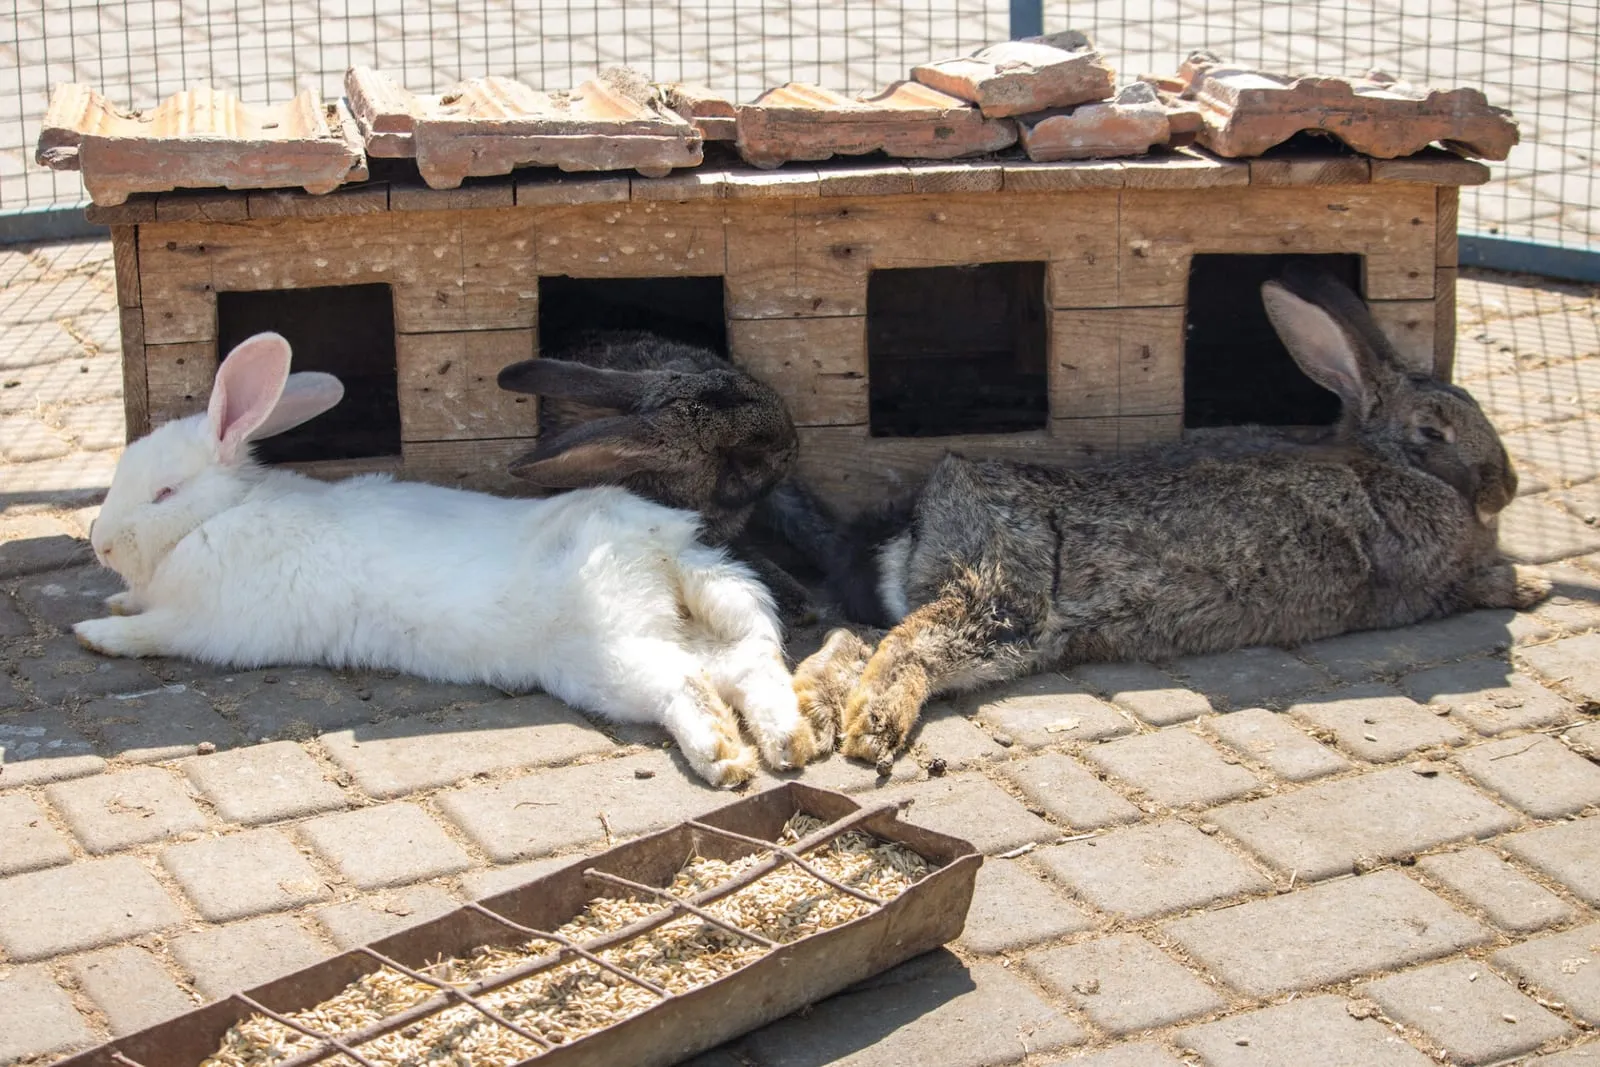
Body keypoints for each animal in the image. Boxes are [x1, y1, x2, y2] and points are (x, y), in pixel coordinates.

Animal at [786, 265, 1552, 771]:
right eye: (1432, 431)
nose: (1506, 487)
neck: (1389, 465)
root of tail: (920, 517)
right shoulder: (1430, 580)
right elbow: (1478, 584)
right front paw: (1533, 587)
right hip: (1003, 606)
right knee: (909, 646)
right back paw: (872, 730)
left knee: (855, 638)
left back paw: (812, 714)